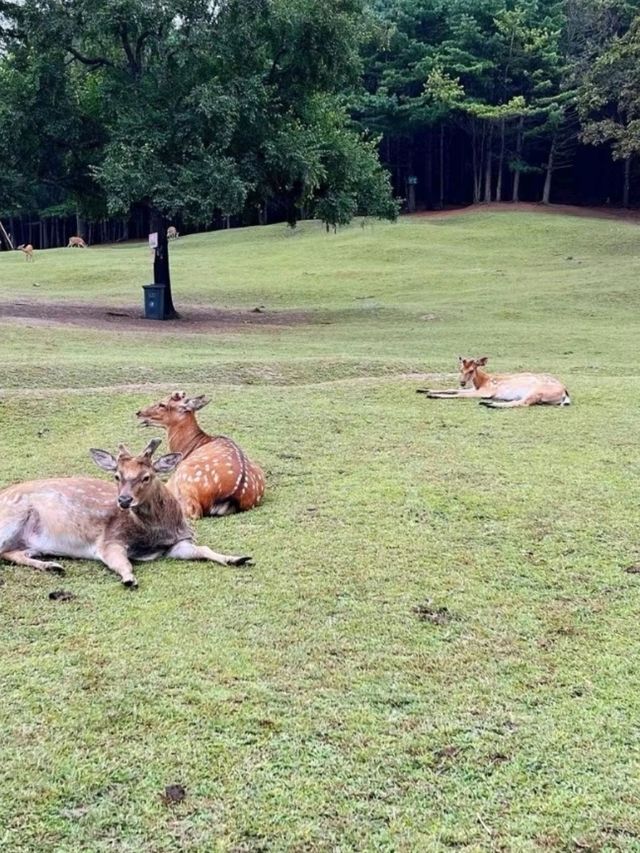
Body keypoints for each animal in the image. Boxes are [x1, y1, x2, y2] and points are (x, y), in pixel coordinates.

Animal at [0, 436, 251, 588]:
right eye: (117, 476)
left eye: (146, 476)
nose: (123, 500)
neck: (155, 534)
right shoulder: (109, 539)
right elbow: (122, 562)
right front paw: (129, 579)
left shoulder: (178, 542)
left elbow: (204, 549)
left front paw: (238, 558)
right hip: (11, 518)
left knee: (12, 553)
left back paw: (52, 566)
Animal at [418, 356, 572, 410]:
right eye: (460, 369)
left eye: (472, 370)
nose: (462, 382)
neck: (483, 381)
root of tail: (565, 392)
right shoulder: (474, 389)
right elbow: (453, 389)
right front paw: (423, 389)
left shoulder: (485, 392)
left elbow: (458, 394)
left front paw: (432, 395)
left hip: (536, 392)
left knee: (522, 403)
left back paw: (489, 404)